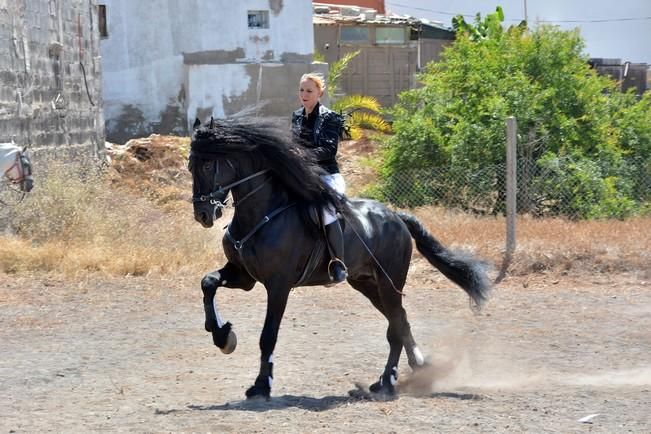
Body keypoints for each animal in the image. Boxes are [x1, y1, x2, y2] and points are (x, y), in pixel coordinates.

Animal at [187, 118, 488, 400]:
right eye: (191, 166)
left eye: (207, 165)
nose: (203, 215)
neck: (264, 214)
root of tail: (396, 217)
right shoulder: (243, 275)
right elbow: (208, 282)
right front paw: (223, 336)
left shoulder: (278, 285)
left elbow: (268, 336)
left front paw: (261, 386)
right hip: (366, 283)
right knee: (400, 322)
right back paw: (410, 370)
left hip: (388, 283)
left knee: (395, 327)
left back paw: (387, 384)